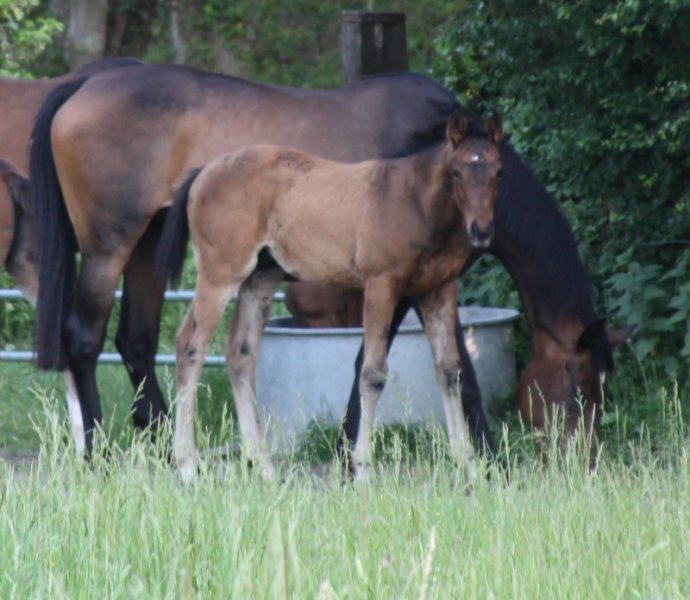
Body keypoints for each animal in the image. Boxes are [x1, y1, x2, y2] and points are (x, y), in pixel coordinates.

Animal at [155, 112, 503, 481]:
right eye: (457, 171)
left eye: (498, 171)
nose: (481, 231)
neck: (416, 202)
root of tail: (203, 172)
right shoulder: (381, 286)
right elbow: (372, 373)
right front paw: (362, 469)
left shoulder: (438, 289)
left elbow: (450, 370)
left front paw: (469, 466)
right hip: (219, 275)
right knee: (190, 346)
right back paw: (188, 466)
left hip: (260, 279)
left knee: (240, 354)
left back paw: (264, 467)